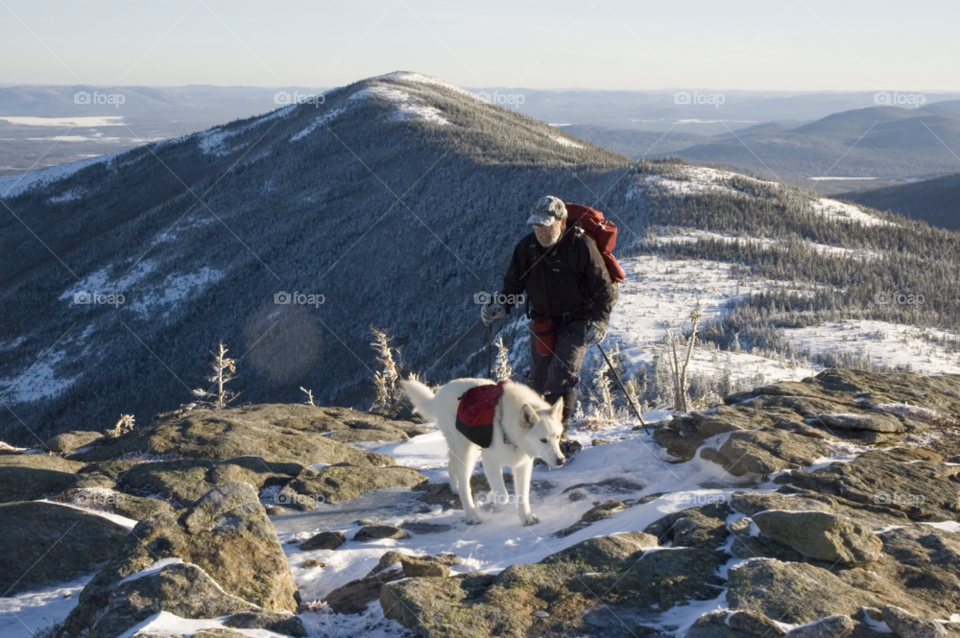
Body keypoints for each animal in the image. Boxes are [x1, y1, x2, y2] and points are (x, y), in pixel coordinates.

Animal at [402, 380, 568, 524]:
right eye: (543, 440)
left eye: (557, 437)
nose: (561, 460)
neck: (507, 431)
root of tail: (440, 392)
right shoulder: (489, 462)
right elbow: (503, 495)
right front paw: (493, 496)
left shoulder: (523, 466)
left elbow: (523, 495)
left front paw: (526, 517)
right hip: (467, 452)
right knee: (464, 485)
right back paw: (471, 515)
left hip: (473, 448)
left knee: (451, 462)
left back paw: (455, 487)